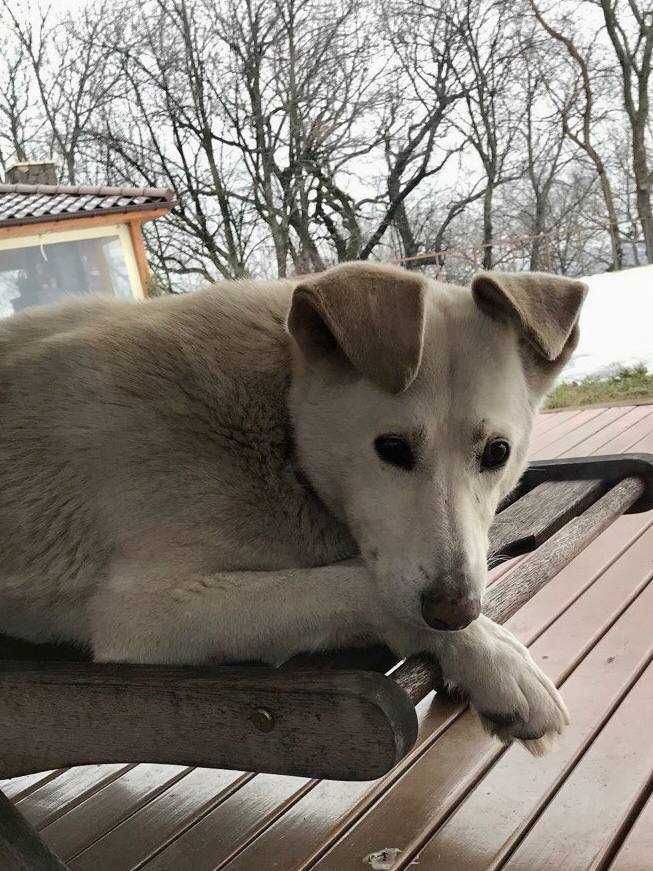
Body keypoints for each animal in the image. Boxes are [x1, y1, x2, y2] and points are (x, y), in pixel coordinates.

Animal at [0, 262, 584, 752]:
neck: (281, 429)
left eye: (497, 453)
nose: (454, 611)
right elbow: (358, 585)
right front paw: (495, 658)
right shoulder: (143, 610)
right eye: (392, 448)